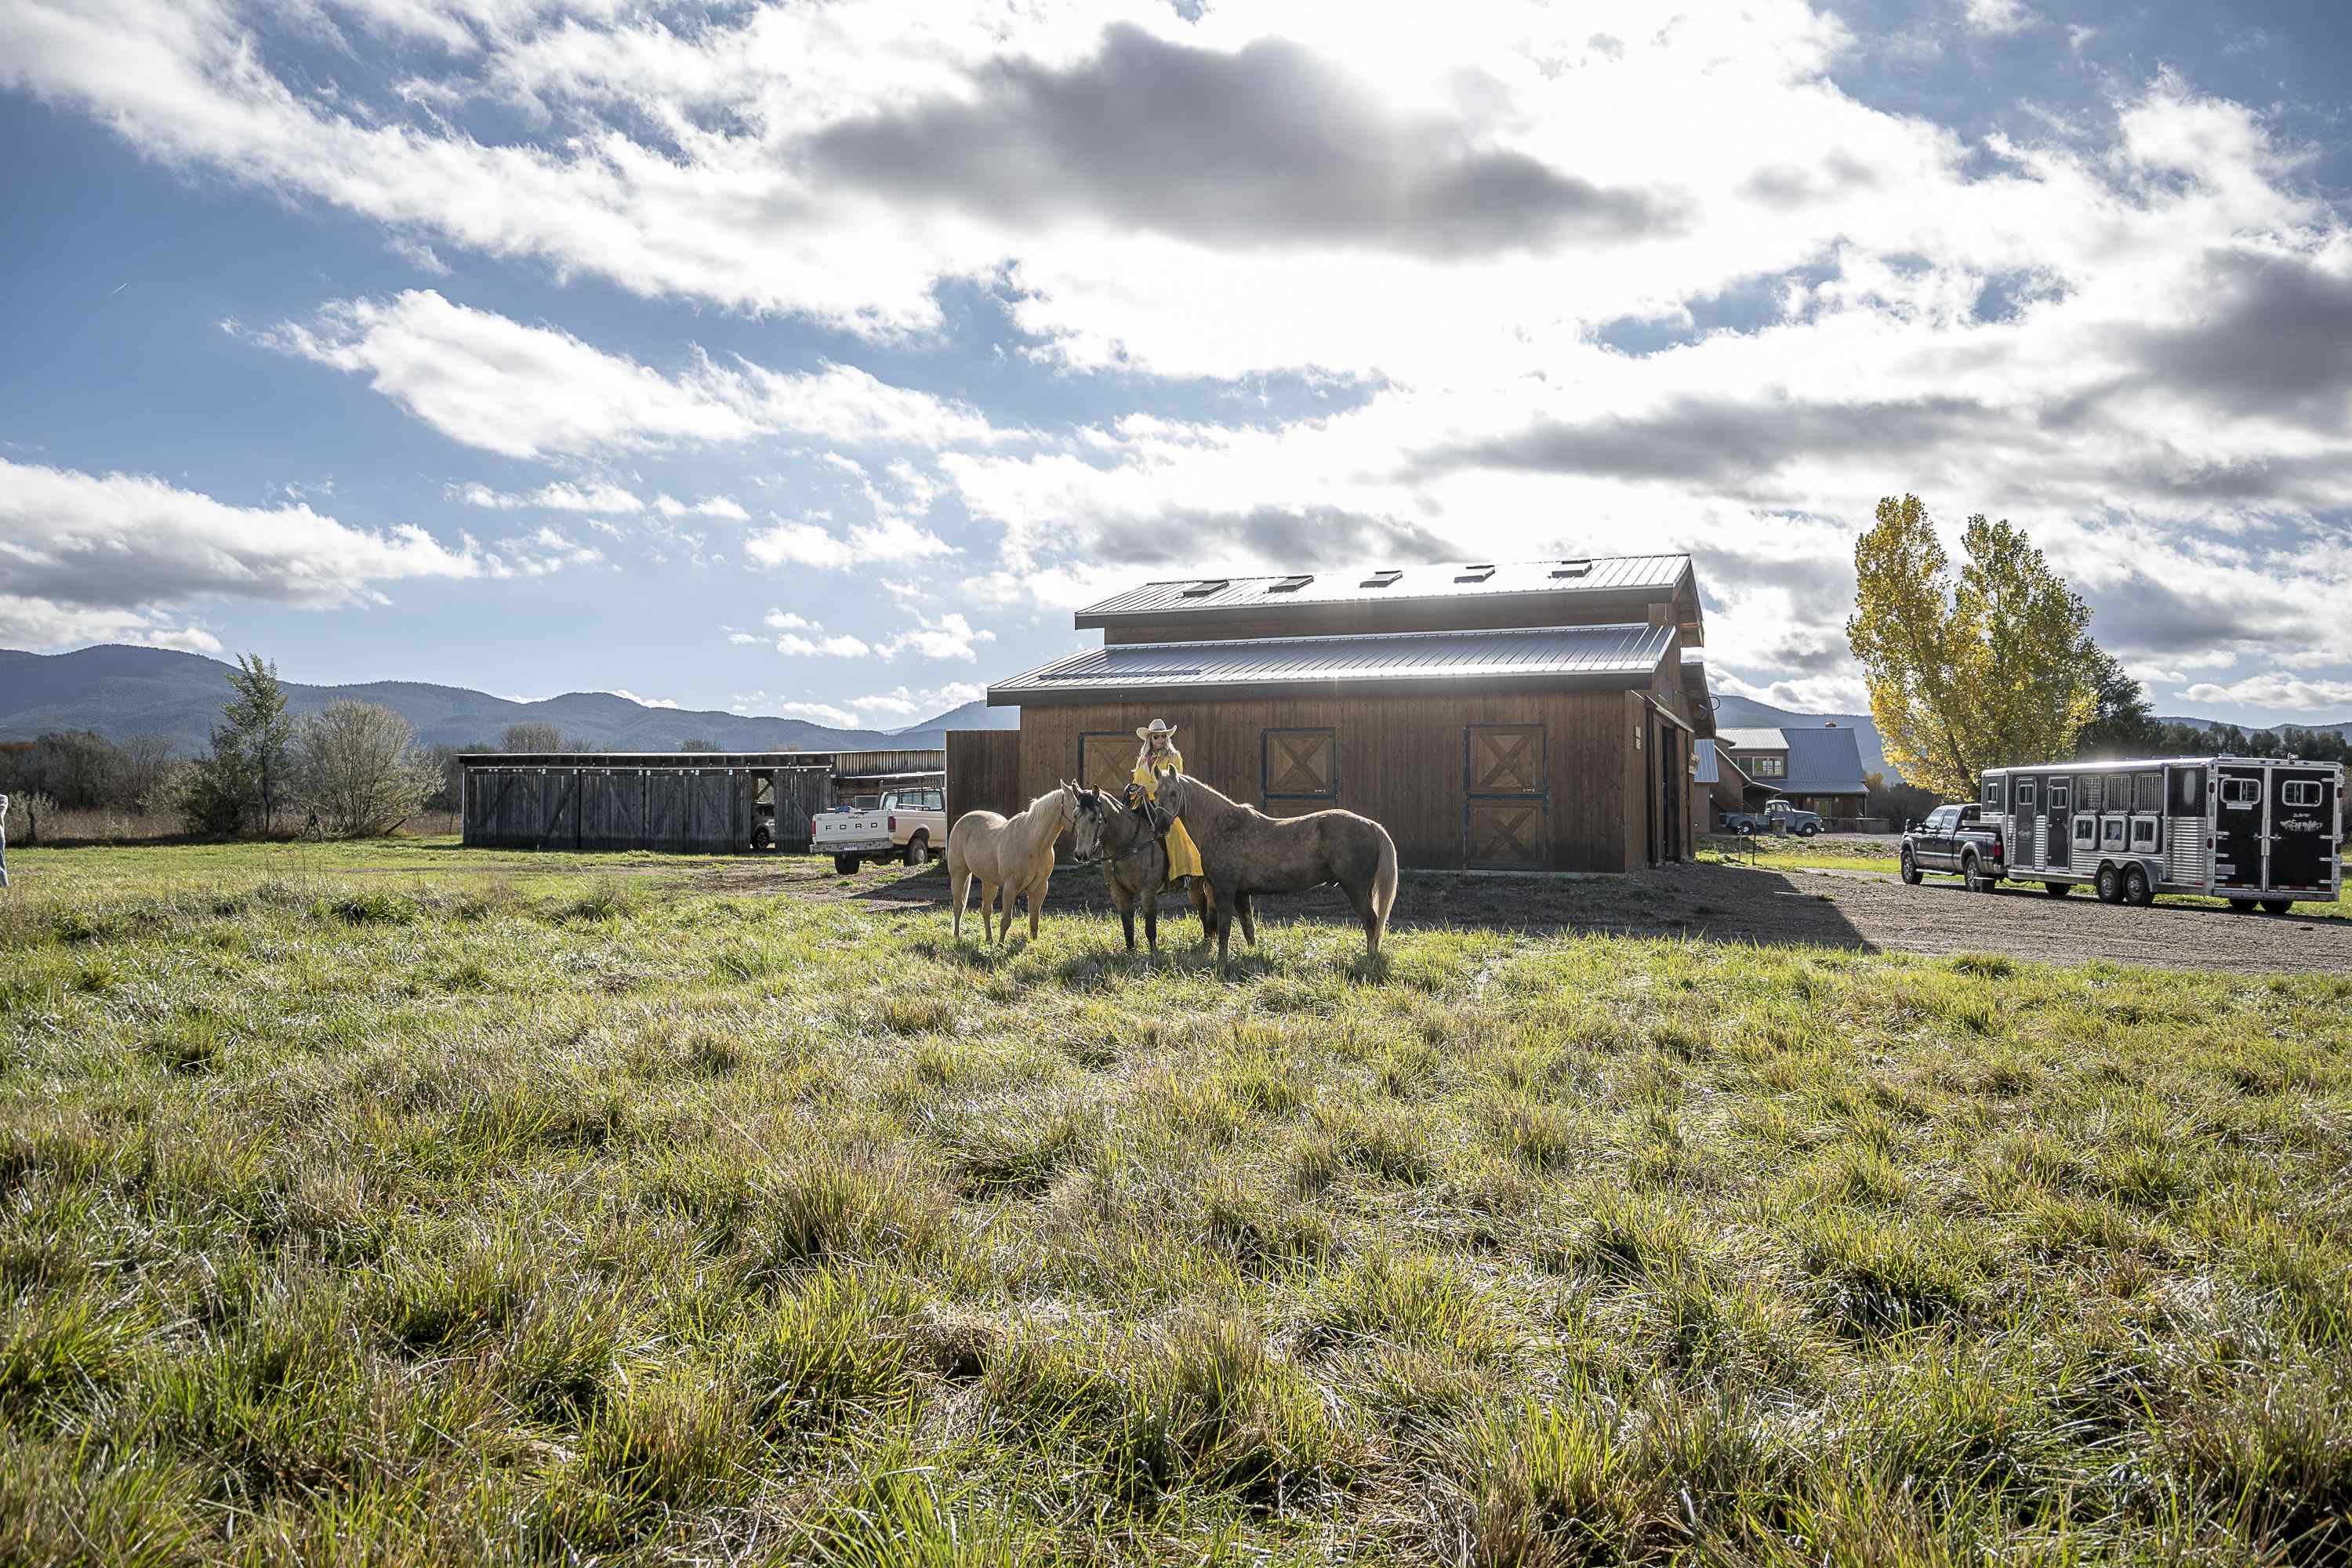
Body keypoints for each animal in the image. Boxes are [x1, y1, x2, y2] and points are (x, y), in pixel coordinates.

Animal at [947, 783, 1080, 944]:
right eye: (1075, 807)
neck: (1033, 843)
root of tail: (962, 820)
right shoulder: (1010, 887)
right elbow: (1006, 920)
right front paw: (1000, 945)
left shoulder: (1040, 888)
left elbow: (1034, 921)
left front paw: (1033, 944)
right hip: (959, 875)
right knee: (958, 907)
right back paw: (957, 937)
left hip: (989, 881)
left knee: (986, 910)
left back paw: (989, 940)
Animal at [1069, 784, 1243, 955]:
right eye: (1075, 816)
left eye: (1093, 818)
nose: (1080, 854)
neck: (1128, 843)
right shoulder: (1118, 893)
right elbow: (1128, 927)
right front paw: (1131, 953)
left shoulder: (1148, 892)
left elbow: (1150, 927)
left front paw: (1154, 954)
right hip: (1195, 885)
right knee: (1202, 908)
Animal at [1150, 766, 1397, 971]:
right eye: (1155, 794)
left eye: (1174, 793)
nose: (1159, 827)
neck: (1221, 825)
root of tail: (1371, 826)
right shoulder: (1241, 894)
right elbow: (1248, 927)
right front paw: (1252, 956)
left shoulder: (1224, 891)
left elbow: (1225, 929)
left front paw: (1222, 962)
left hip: (1355, 890)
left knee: (1371, 921)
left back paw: (1369, 959)